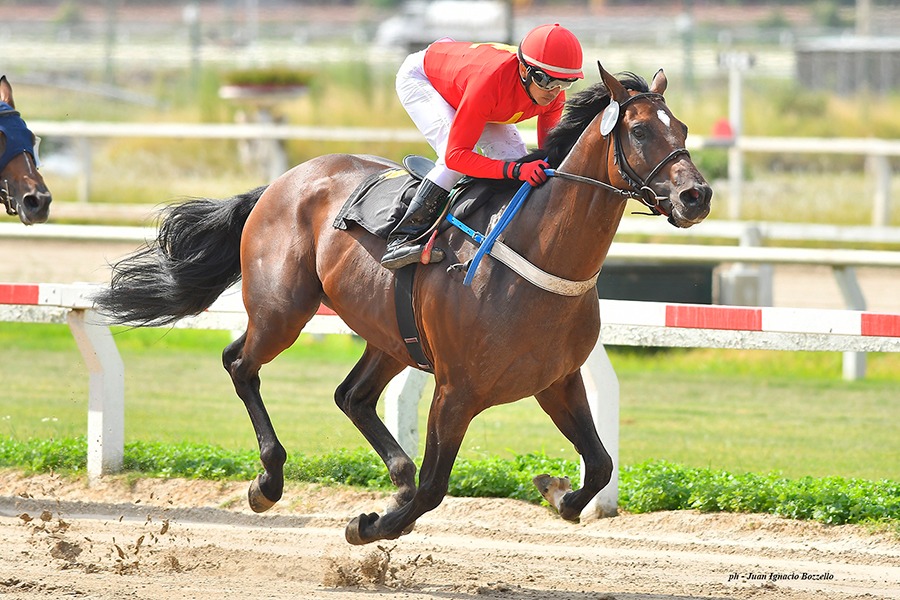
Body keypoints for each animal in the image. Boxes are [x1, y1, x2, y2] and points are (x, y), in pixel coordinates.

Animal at [93, 63, 712, 545]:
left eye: (681, 127)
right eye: (638, 130)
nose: (696, 195)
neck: (539, 254)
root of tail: (281, 181)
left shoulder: (556, 380)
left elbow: (600, 463)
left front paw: (556, 492)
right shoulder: (456, 390)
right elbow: (437, 487)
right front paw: (370, 526)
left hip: (389, 334)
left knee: (351, 395)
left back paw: (397, 475)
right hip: (283, 309)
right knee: (240, 363)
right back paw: (269, 483)